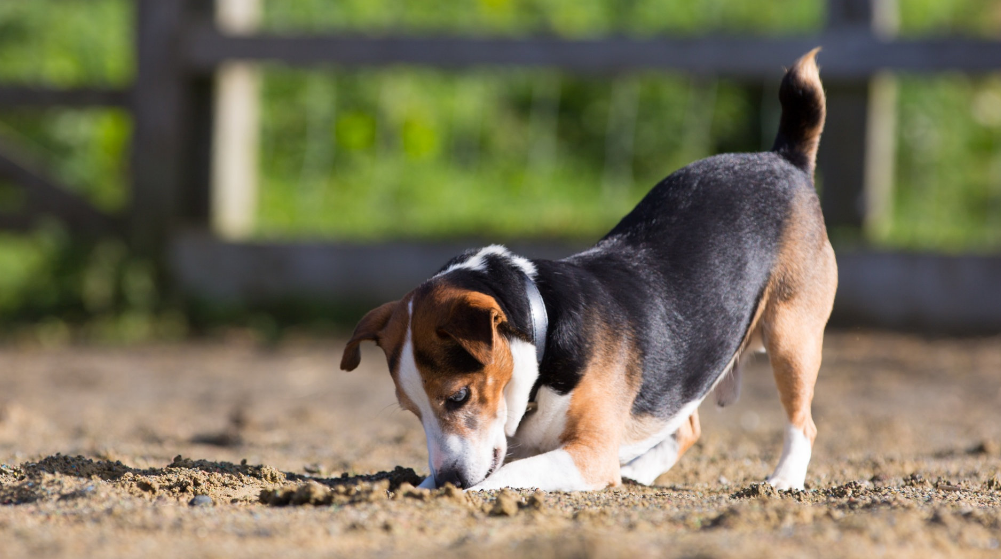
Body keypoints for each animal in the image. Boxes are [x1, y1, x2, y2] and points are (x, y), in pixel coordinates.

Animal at [342, 50, 836, 492]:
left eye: (458, 396)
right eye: (412, 411)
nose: (450, 479)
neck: (544, 334)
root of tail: (783, 158)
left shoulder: (589, 455)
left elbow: (504, 475)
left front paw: (462, 491)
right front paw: (422, 487)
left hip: (792, 339)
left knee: (803, 423)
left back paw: (784, 480)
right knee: (687, 425)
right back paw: (641, 470)